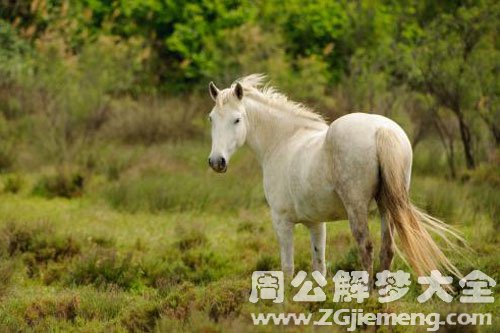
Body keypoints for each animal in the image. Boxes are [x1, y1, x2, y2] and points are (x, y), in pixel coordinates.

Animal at [207, 74, 460, 278]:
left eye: (237, 119)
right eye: (211, 118)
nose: (216, 162)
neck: (283, 141)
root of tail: (382, 130)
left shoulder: (282, 221)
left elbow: (287, 268)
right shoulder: (316, 224)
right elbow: (319, 266)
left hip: (357, 208)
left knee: (366, 248)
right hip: (386, 207)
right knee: (386, 250)